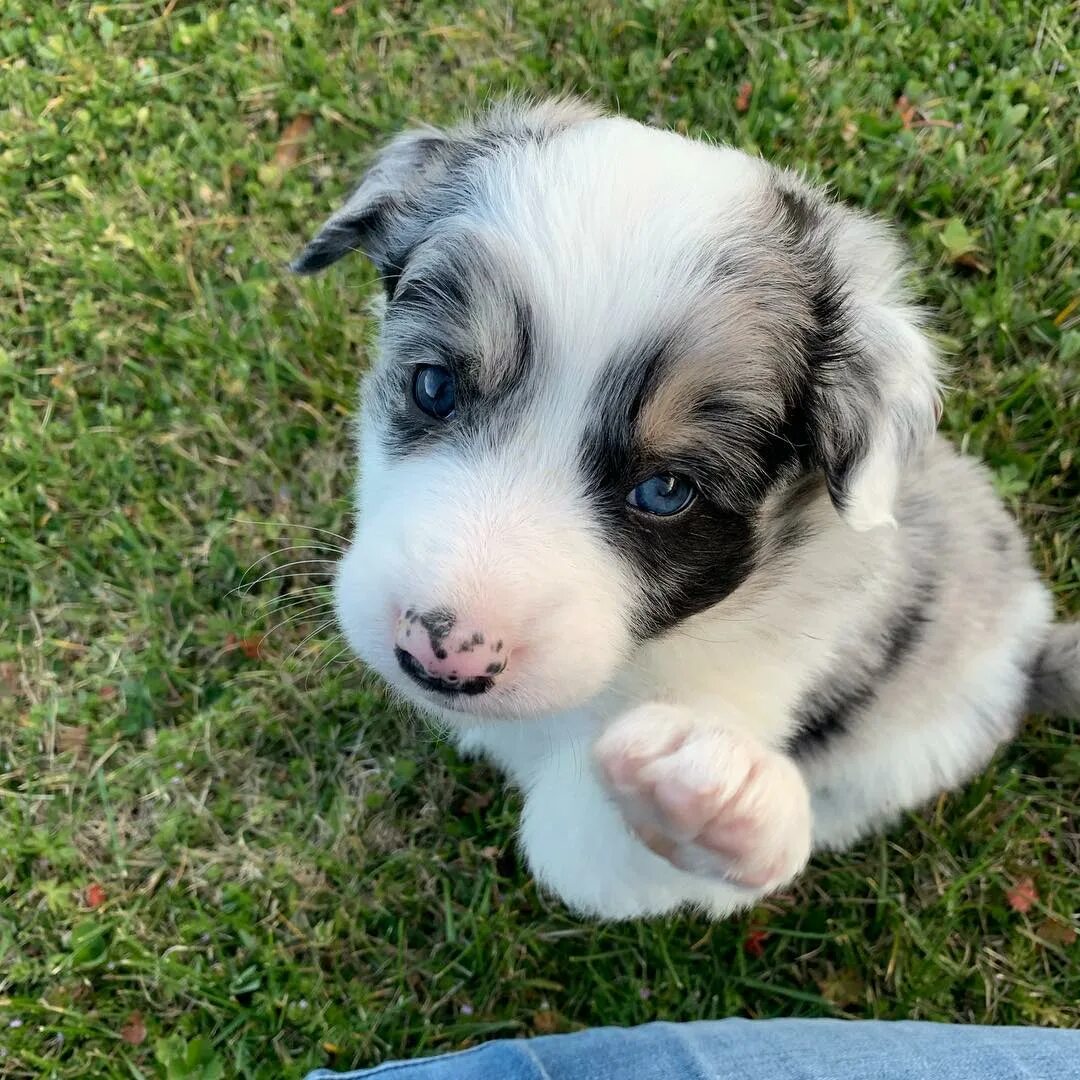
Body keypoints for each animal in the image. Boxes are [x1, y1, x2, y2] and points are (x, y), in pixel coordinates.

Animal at [289, 97, 1080, 915]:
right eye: (434, 386)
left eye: (667, 491)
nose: (438, 654)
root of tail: (1029, 651)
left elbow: (597, 843)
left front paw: (713, 797)